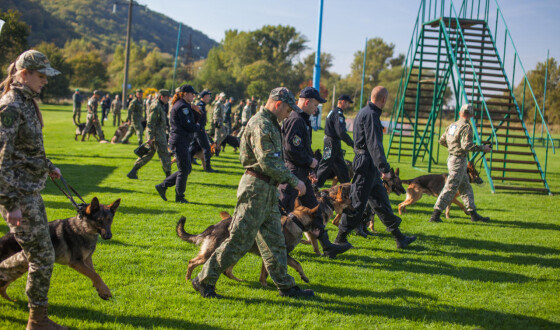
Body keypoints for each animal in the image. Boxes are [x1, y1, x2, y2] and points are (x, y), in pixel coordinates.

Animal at [176, 196, 332, 286]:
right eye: (320, 217)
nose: (325, 230)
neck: (296, 221)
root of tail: (214, 226)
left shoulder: (268, 257)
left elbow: (265, 273)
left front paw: (264, 285)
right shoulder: (283, 255)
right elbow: (297, 264)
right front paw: (303, 277)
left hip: (235, 253)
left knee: (227, 270)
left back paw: (239, 280)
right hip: (215, 253)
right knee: (192, 262)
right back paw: (188, 279)